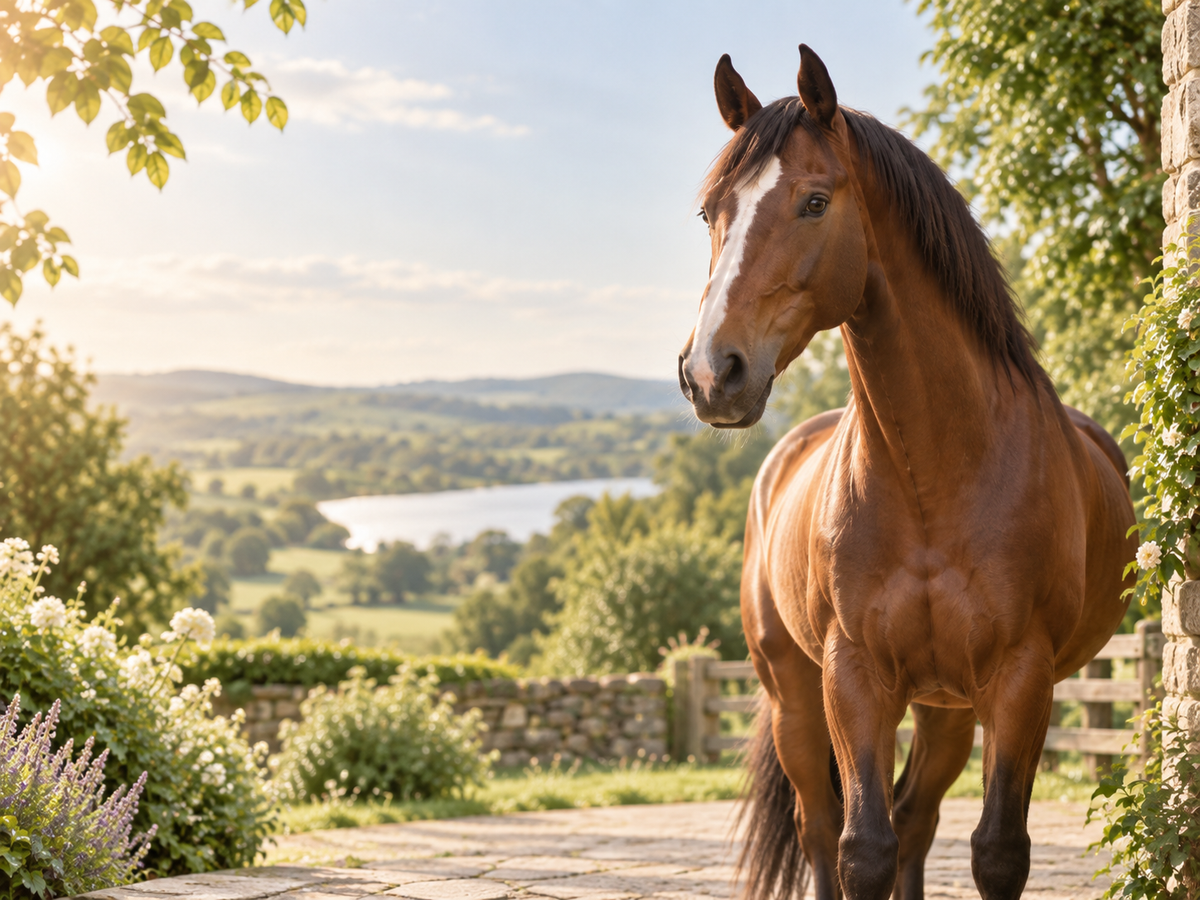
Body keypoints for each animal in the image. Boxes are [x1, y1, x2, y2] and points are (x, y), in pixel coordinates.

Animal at [676, 46, 1136, 900]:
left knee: (918, 819)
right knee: (820, 827)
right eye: (711, 213)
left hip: (946, 706)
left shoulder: (1019, 683)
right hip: (795, 696)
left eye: (814, 201)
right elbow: (862, 849)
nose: (712, 373)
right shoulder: (854, 677)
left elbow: (994, 850)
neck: (936, 473)